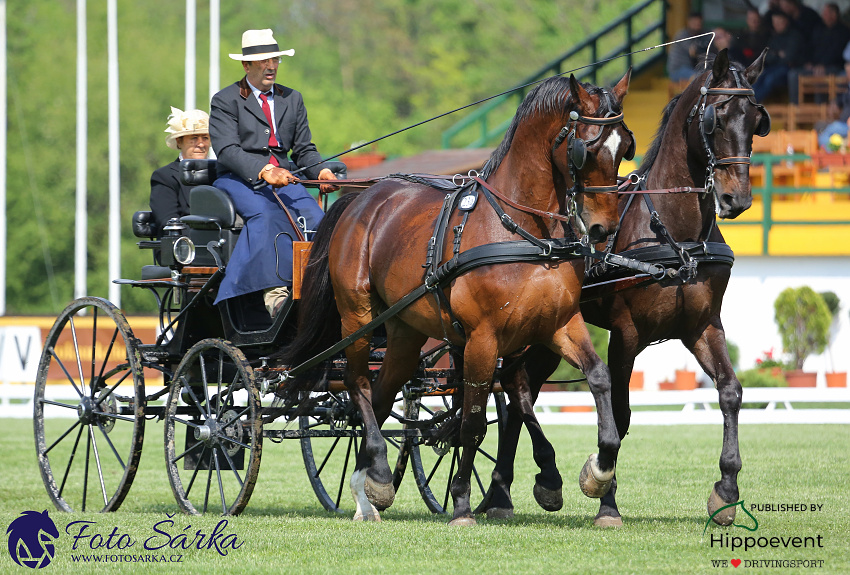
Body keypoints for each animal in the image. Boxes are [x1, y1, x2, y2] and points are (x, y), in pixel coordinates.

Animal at [284, 72, 636, 528]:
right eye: (585, 148)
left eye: (624, 147)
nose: (602, 229)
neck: (523, 230)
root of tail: (362, 198)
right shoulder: (482, 339)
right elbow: (472, 423)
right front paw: (463, 503)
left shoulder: (558, 325)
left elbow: (597, 378)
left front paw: (597, 471)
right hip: (357, 319)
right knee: (358, 385)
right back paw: (375, 474)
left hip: (404, 332)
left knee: (380, 395)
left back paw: (368, 488)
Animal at [484, 48, 768, 528]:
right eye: (716, 118)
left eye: (755, 120)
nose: (737, 200)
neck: (673, 234)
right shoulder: (626, 333)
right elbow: (619, 410)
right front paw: (606, 499)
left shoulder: (703, 326)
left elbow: (731, 392)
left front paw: (726, 491)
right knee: (515, 389)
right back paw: (521, 486)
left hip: (545, 333)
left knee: (519, 395)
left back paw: (503, 491)